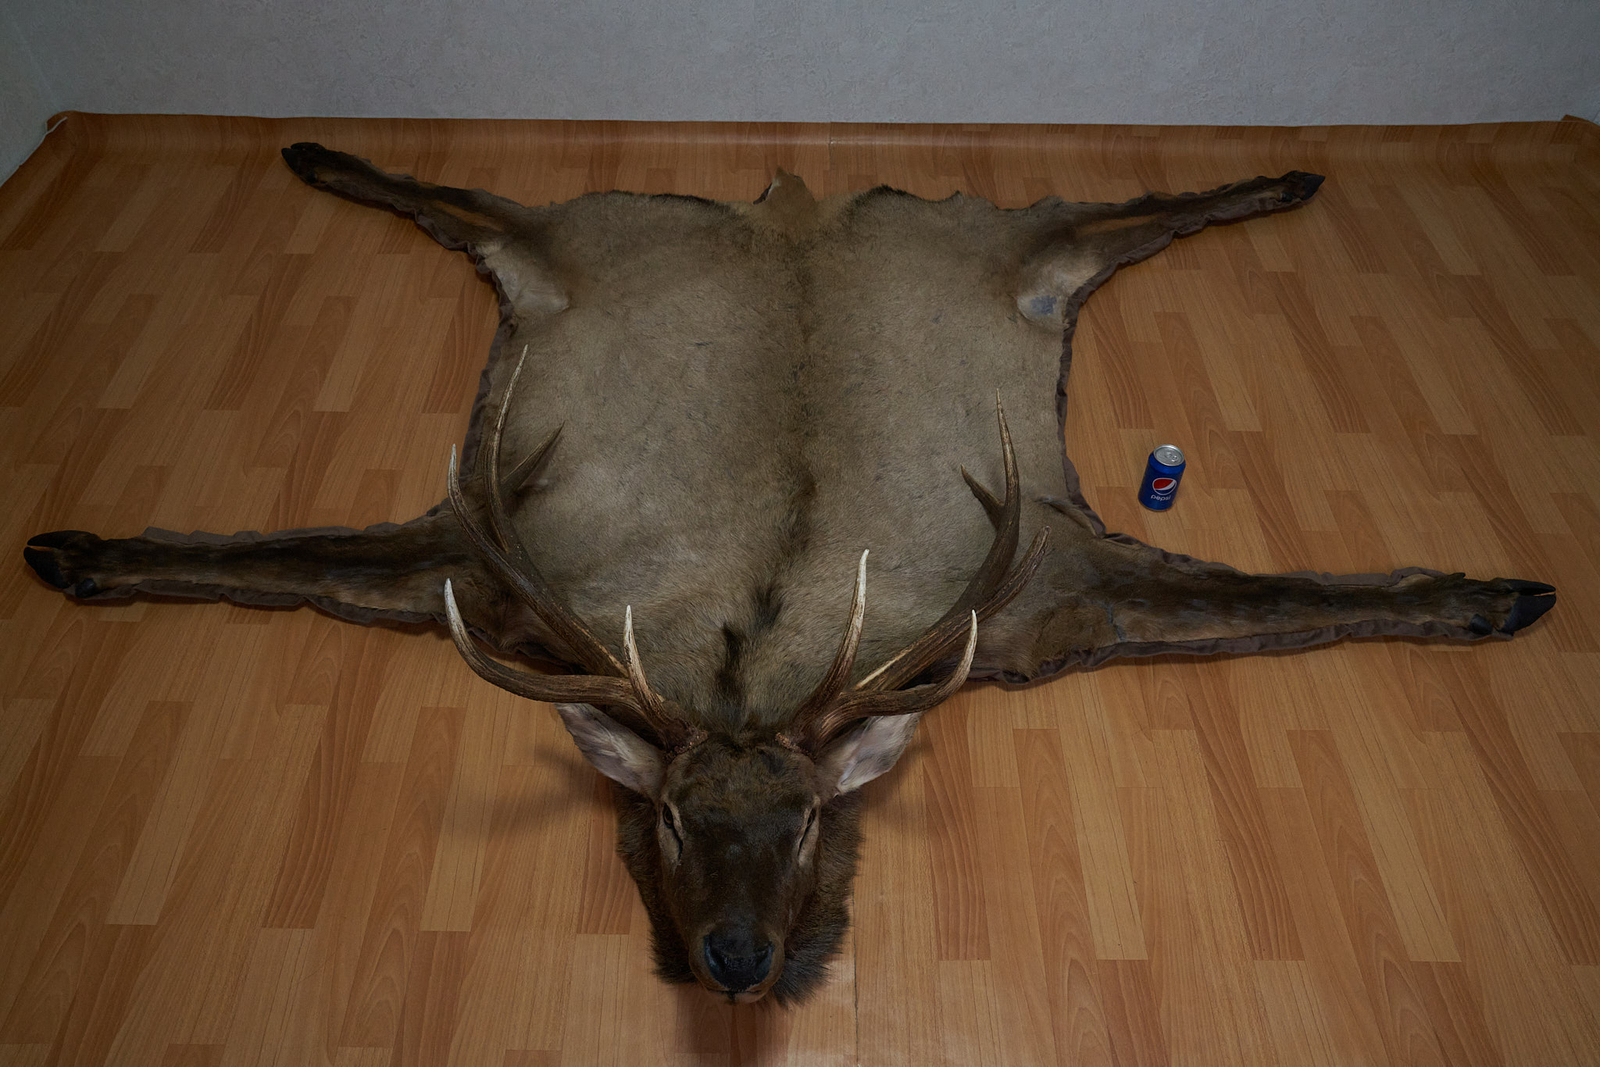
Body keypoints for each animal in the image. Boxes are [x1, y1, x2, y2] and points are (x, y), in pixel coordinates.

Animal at [22, 143, 1557, 1003]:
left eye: (814, 813)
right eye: (670, 815)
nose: (739, 959)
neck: (746, 655)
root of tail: (796, 209)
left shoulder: (1056, 589)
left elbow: (1283, 602)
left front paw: (1495, 589)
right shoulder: (480, 554)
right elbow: (278, 558)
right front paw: (76, 545)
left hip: (971, 238)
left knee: (1099, 216)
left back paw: (1286, 175)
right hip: (591, 239)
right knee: (474, 198)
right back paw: (309, 149)